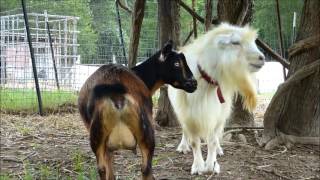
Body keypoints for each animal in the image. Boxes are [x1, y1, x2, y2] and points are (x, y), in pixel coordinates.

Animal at [168, 23, 264, 175]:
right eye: (235, 42)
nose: (262, 58)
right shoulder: (188, 114)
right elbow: (194, 141)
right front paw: (197, 166)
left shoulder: (217, 113)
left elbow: (212, 140)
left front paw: (211, 165)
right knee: (185, 131)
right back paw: (183, 146)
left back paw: (218, 150)